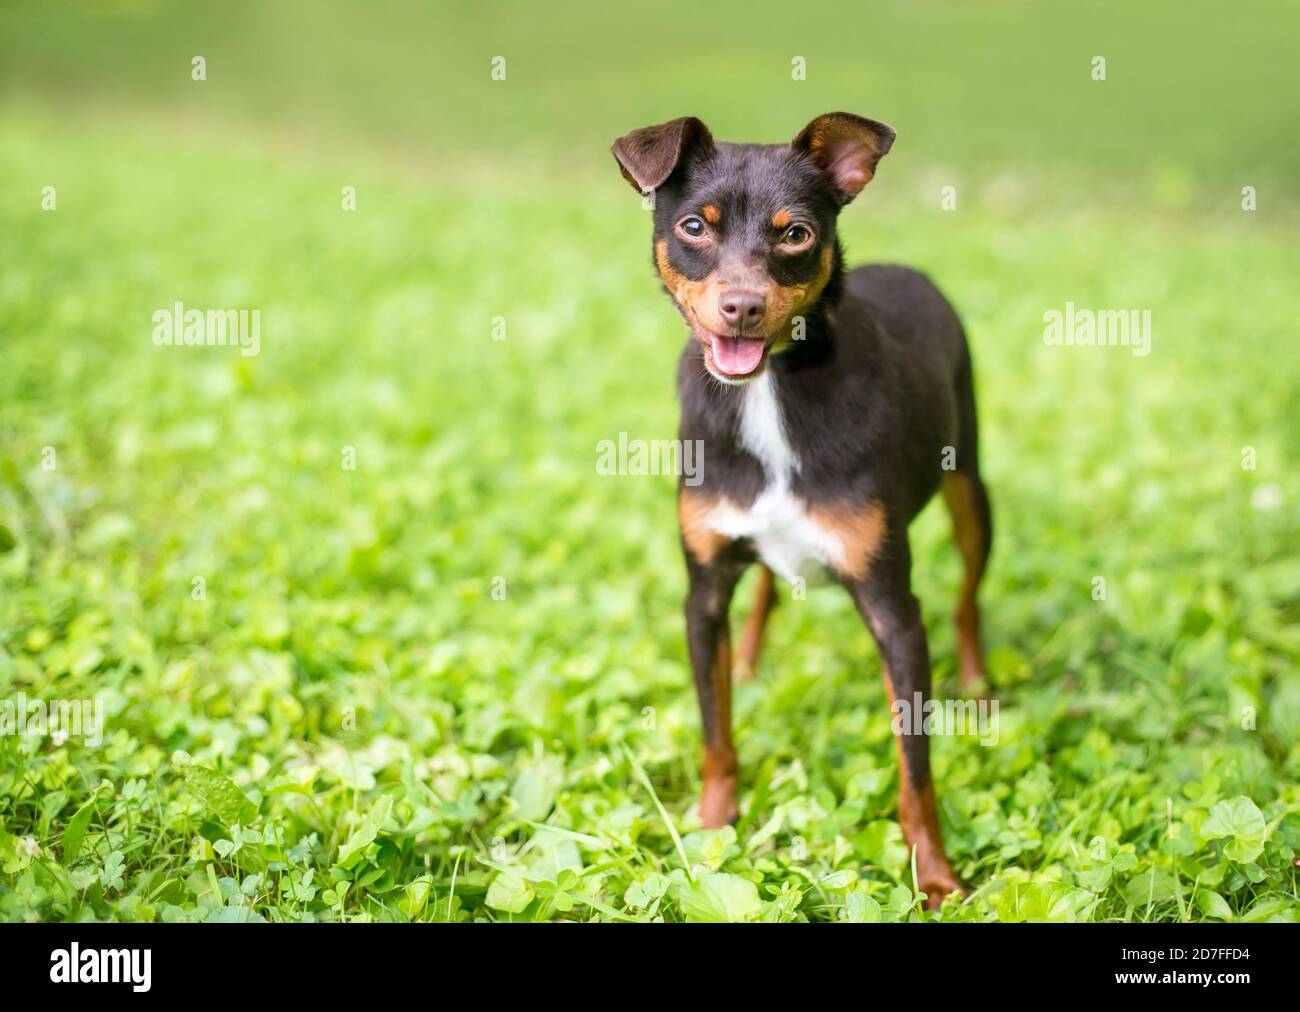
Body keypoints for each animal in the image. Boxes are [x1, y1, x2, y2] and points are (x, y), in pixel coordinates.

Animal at [611, 112, 993, 905]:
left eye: (795, 235)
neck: (767, 393)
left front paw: (936, 876)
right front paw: (711, 830)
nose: (742, 307)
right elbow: (716, 732)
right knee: (763, 589)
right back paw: (750, 664)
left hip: (971, 490)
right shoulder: (703, 592)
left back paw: (977, 679)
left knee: (970, 594)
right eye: (693, 226)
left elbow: (916, 771)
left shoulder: (893, 610)